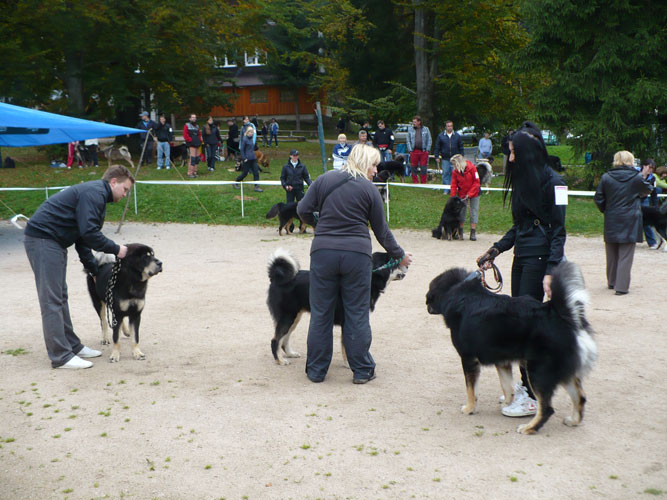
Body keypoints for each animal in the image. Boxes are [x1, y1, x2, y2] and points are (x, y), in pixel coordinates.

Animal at [268, 248, 408, 366]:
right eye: (395, 262)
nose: (406, 265)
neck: (371, 278)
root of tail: (278, 278)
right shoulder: (349, 321)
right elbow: (346, 345)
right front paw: (350, 364)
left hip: (295, 317)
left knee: (284, 339)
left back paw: (290, 354)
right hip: (288, 316)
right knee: (275, 340)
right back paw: (280, 360)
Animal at [428, 262, 600, 434]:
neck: (460, 291)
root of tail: (564, 317)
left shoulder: (468, 358)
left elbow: (471, 389)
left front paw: (469, 408)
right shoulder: (502, 361)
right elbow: (507, 387)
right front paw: (507, 404)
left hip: (538, 371)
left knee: (547, 408)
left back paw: (529, 428)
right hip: (562, 372)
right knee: (580, 397)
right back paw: (573, 420)